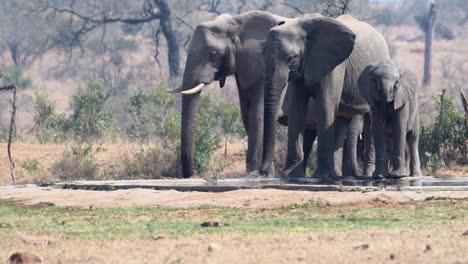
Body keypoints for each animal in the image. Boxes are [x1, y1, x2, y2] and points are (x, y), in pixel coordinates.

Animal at [165, 11, 288, 178]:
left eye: (213, 54)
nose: (191, 175)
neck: (235, 23)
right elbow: (246, 115)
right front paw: (266, 173)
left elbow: (258, 114)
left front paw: (257, 173)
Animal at [262, 13, 390, 179]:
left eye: (291, 58)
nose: (263, 172)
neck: (299, 24)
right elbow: (297, 110)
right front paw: (290, 176)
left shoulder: (334, 65)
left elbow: (325, 106)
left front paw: (320, 176)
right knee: (342, 120)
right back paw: (337, 175)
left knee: (371, 122)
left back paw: (368, 175)